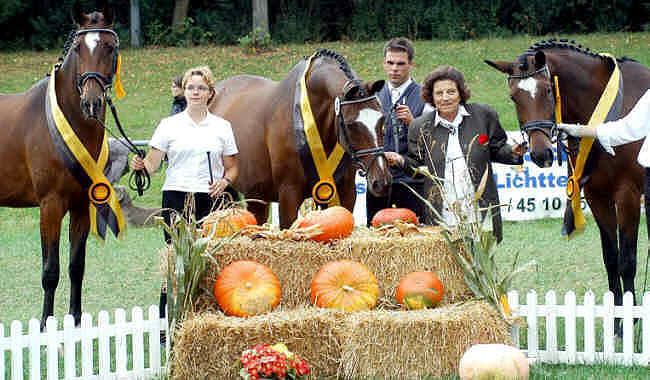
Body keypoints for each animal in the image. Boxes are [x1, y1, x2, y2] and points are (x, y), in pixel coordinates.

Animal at [0, 2, 121, 328]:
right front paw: (45, 326)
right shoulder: (51, 206)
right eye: (78, 48)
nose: (91, 103)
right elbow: (50, 270)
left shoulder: (81, 205)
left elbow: (76, 266)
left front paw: (76, 323)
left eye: (110, 46)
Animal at [209, 48, 390, 227]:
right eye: (351, 124)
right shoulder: (289, 194)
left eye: (382, 119)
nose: (381, 182)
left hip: (256, 194)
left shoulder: (344, 192)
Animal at [486, 39, 648, 336]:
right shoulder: (598, 197)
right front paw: (616, 324)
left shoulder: (628, 197)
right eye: (514, 97)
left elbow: (627, 261)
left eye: (548, 90)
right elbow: (611, 259)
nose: (540, 154)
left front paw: (629, 324)